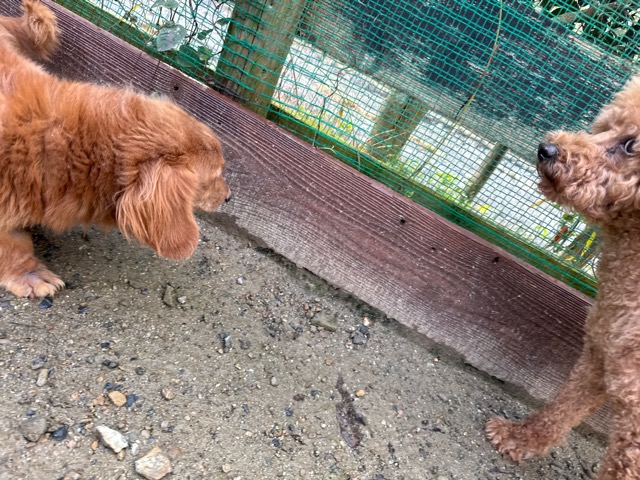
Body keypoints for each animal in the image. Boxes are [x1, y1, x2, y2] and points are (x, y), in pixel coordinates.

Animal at [486, 75, 640, 479]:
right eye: (604, 127)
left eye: (631, 144)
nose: (546, 149)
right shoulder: (599, 356)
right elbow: (563, 407)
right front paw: (519, 438)